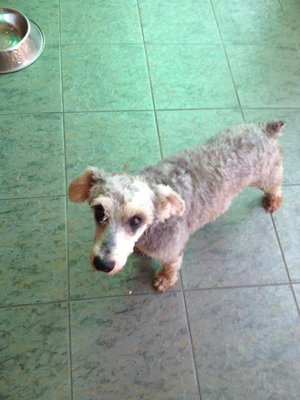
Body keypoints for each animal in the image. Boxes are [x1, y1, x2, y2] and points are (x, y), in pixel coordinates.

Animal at [68, 120, 284, 292]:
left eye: (136, 220)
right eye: (99, 212)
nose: (103, 264)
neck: (156, 224)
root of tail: (265, 129)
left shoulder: (171, 249)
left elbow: (171, 265)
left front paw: (164, 279)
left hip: (265, 175)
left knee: (276, 182)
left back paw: (273, 199)